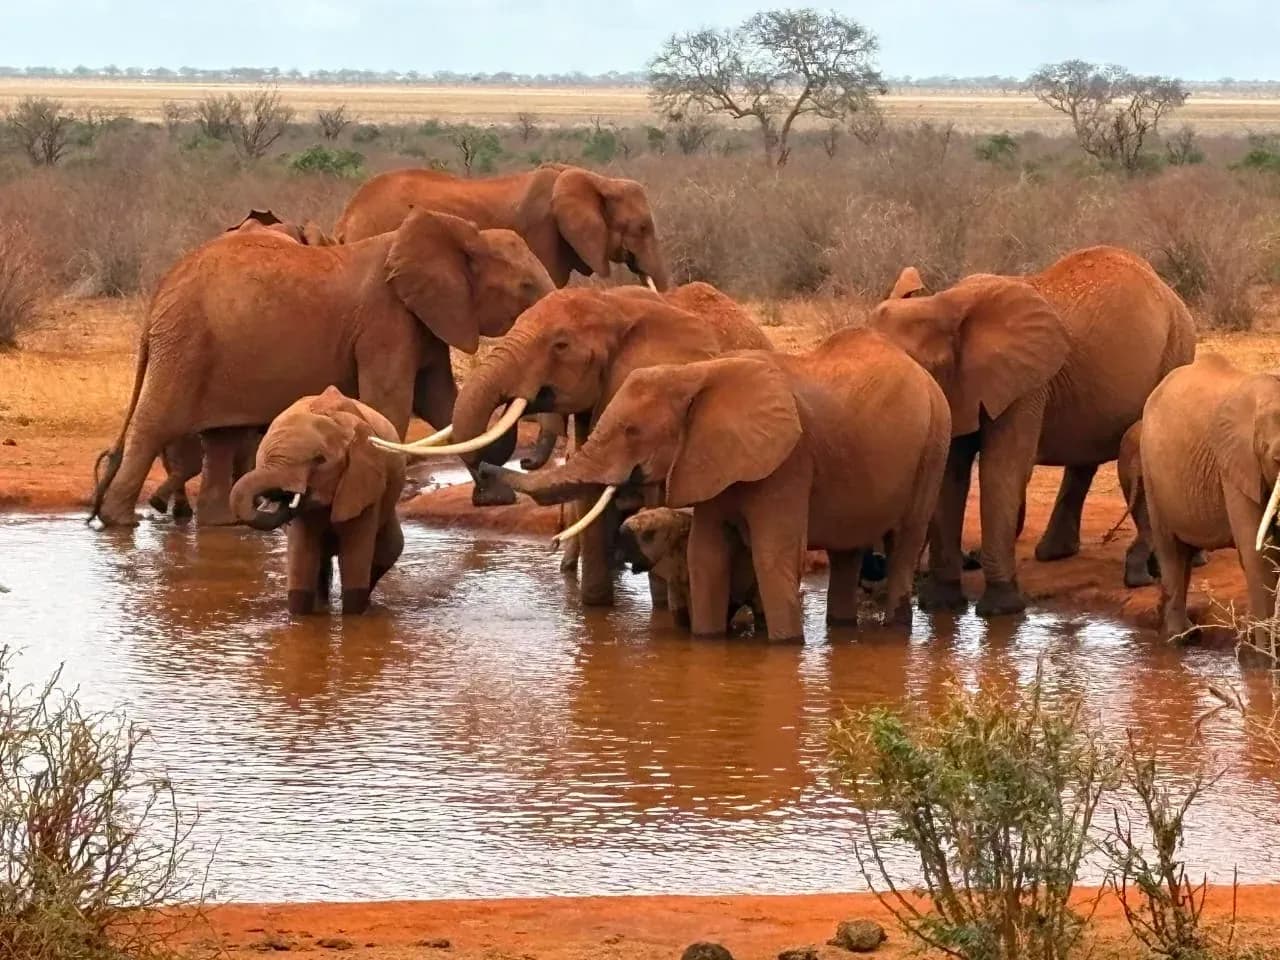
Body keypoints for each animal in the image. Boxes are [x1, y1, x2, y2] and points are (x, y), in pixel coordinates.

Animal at [88, 209, 554, 528]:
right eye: (525, 286)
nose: (528, 463)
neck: (455, 232)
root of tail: (159, 294)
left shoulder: (424, 320)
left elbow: (441, 403)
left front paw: (496, 499)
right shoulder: (385, 321)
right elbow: (392, 405)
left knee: (221, 438)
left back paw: (221, 523)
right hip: (185, 344)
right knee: (155, 426)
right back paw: (120, 521)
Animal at [231, 387, 406, 616]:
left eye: (320, 460)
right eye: (264, 454)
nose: (281, 498)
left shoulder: (363, 483)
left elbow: (354, 557)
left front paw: (353, 616)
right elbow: (303, 556)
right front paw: (300, 618)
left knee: (387, 552)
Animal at [870, 245, 1196, 617]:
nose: (875, 568)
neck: (942, 304)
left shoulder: (1027, 385)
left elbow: (1002, 470)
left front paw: (1000, 609)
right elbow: (951, 472)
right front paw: (941, 605)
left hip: (1177, 347)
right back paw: (1055, 554)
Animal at [1139, 354, 1280, 641]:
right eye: (1277, 459)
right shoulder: (1236, 465)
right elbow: (1258, 553)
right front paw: (1265, 650)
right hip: (1150, 468)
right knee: (1171, 550)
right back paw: (1179, 638)